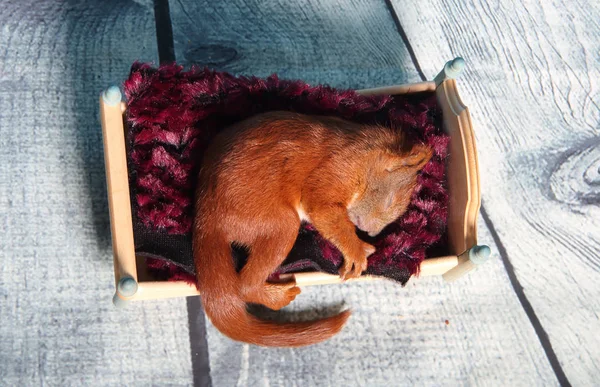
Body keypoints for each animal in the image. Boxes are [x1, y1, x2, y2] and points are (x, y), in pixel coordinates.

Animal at [195, 111, 434, 348]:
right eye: (389, 200)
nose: (371, 232)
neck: (364, 154)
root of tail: (209, 219)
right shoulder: (338, 169)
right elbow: (323, 209)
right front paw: (356, 251)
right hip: (281, 224)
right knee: (245, 287)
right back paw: (281, 295)